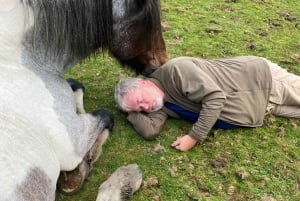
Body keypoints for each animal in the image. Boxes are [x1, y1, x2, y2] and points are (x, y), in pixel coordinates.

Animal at [0, 0, 166, 200]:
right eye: (150, 24)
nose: (163, 62)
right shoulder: (73, 145)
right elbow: (105, 116)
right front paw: (87, 160)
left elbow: (77, 86)